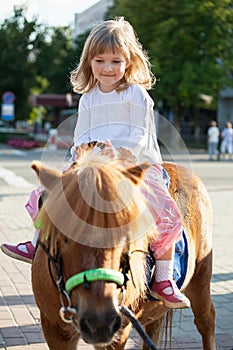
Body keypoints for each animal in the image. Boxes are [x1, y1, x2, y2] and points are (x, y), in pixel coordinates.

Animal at [31, 151, 215, 350]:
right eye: (64, 236)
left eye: (125, 237)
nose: (99, 321)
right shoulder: (55, 330)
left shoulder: (119, 332)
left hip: (201, 278)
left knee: (206, 320)